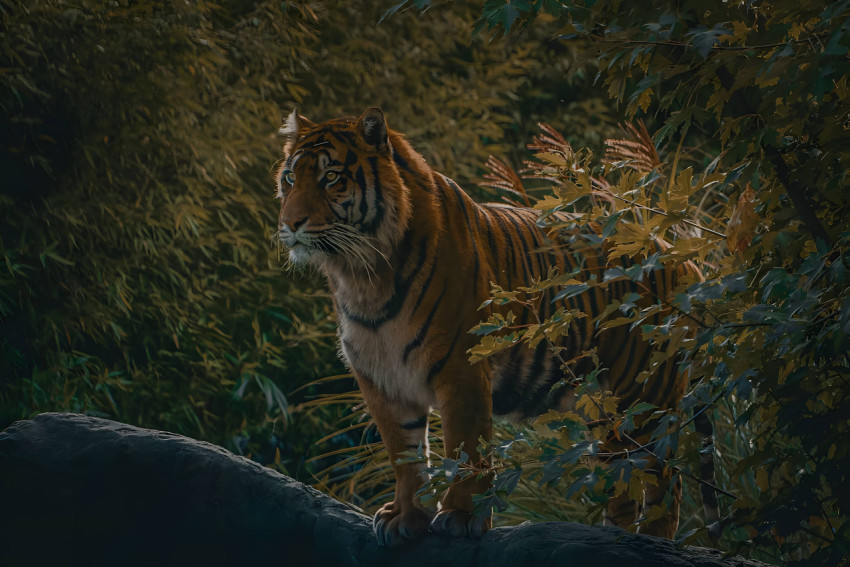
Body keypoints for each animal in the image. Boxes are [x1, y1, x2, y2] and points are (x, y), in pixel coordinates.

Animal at [275, 107, 705, 546]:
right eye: (290, 177)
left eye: (331, 177)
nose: (290, 223)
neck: (363, 274)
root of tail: (682, 257)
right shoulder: (381, 380)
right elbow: (405, 456)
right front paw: (406, 517)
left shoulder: (460, 367)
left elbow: (465, 447)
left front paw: (461, 516)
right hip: (604, 416)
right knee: (621, 485)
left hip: (643, 397)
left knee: (665, 481)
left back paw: (656, 541)